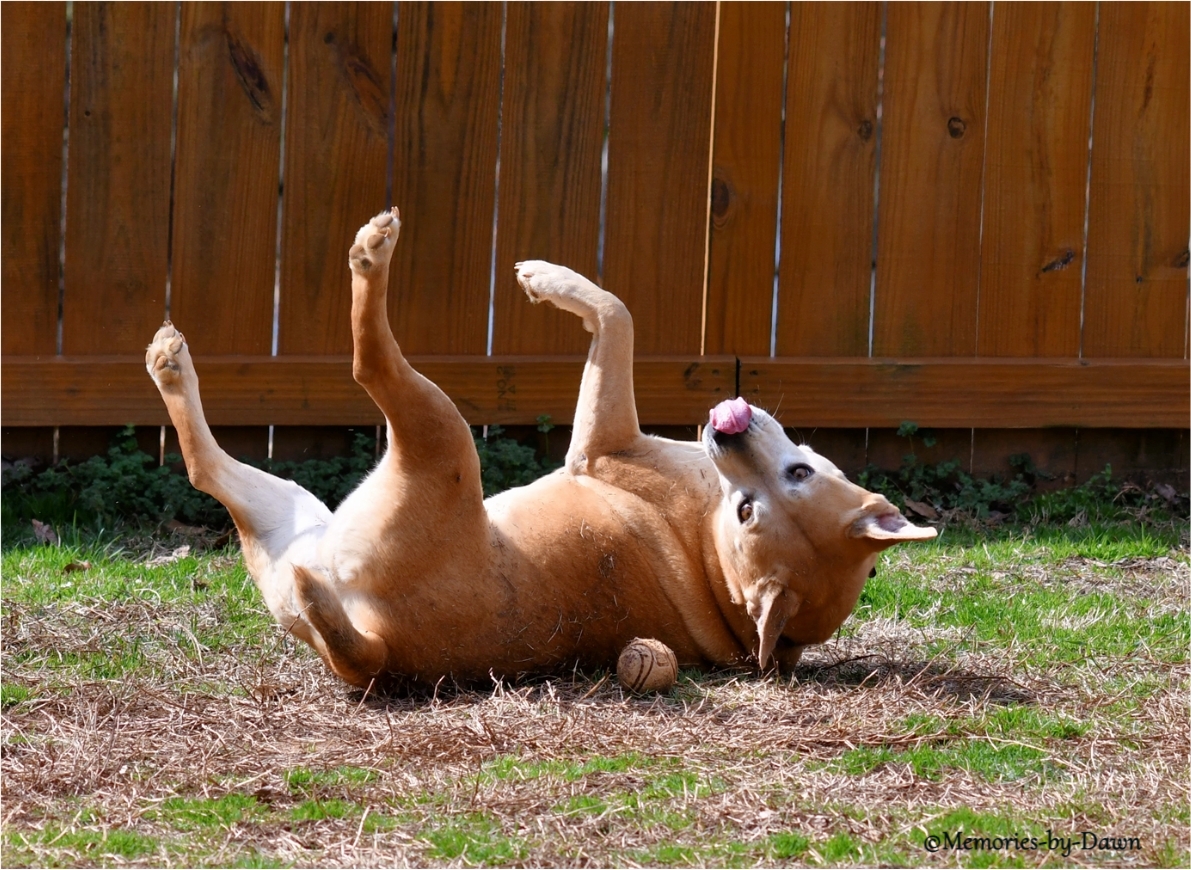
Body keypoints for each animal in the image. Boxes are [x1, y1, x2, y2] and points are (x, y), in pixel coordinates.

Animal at [145, 208, 935, 688]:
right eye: (792, 476)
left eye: (755, 506)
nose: (728, 431)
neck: (710, 556)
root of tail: (376, 647)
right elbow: (616, 311)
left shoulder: (601, 442)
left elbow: (617, 312)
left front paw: (547, 280)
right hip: (291, 514)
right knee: (205, 466)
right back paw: (170, 362)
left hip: (438, 438)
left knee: (367, 366)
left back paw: (371, 253)